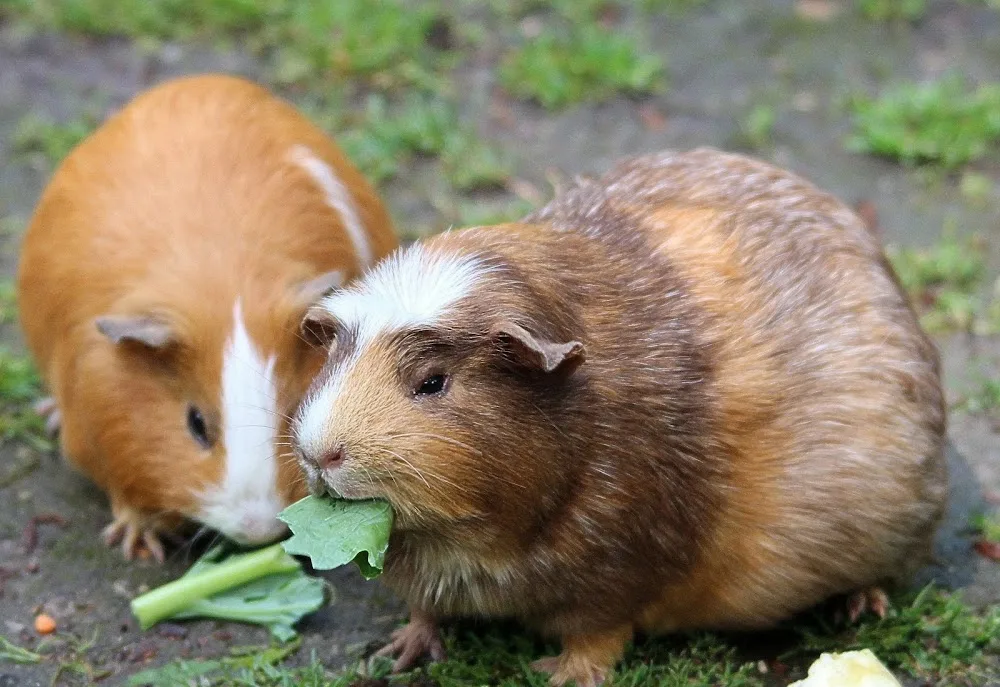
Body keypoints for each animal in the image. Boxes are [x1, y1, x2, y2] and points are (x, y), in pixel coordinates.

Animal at [16, 74, 398, 561]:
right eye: (196, 424)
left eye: (294, 411)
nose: (258, 530)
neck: (225, 287)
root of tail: (198, 81)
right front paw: (139, 542)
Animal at [291, 148, 947, 687]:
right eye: (335, 357)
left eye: (432, 382)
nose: (320, 453)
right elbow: (424, 608)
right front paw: (398, 653)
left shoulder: (617, 572)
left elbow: (598, 636)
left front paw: (559, 675)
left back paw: (861, 608)